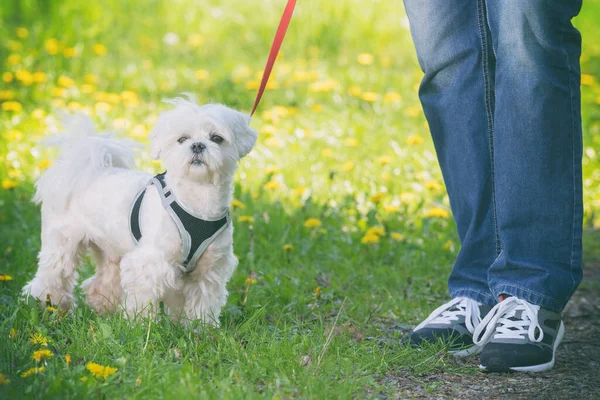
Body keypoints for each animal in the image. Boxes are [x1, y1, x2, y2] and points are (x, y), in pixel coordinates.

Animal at [22, 97, 256, 324]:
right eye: (182, 139)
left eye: (216, 138)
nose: (198, 145)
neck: (196, 201)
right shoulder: (150, 262)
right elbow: (143, 298)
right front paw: (141, 326)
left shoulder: (210, 268)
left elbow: (202, 303)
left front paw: (201, 329)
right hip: (62, 243)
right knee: (51, 276)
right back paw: (43, 305)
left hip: (110, 249)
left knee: (101, 283)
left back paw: (102, 309)